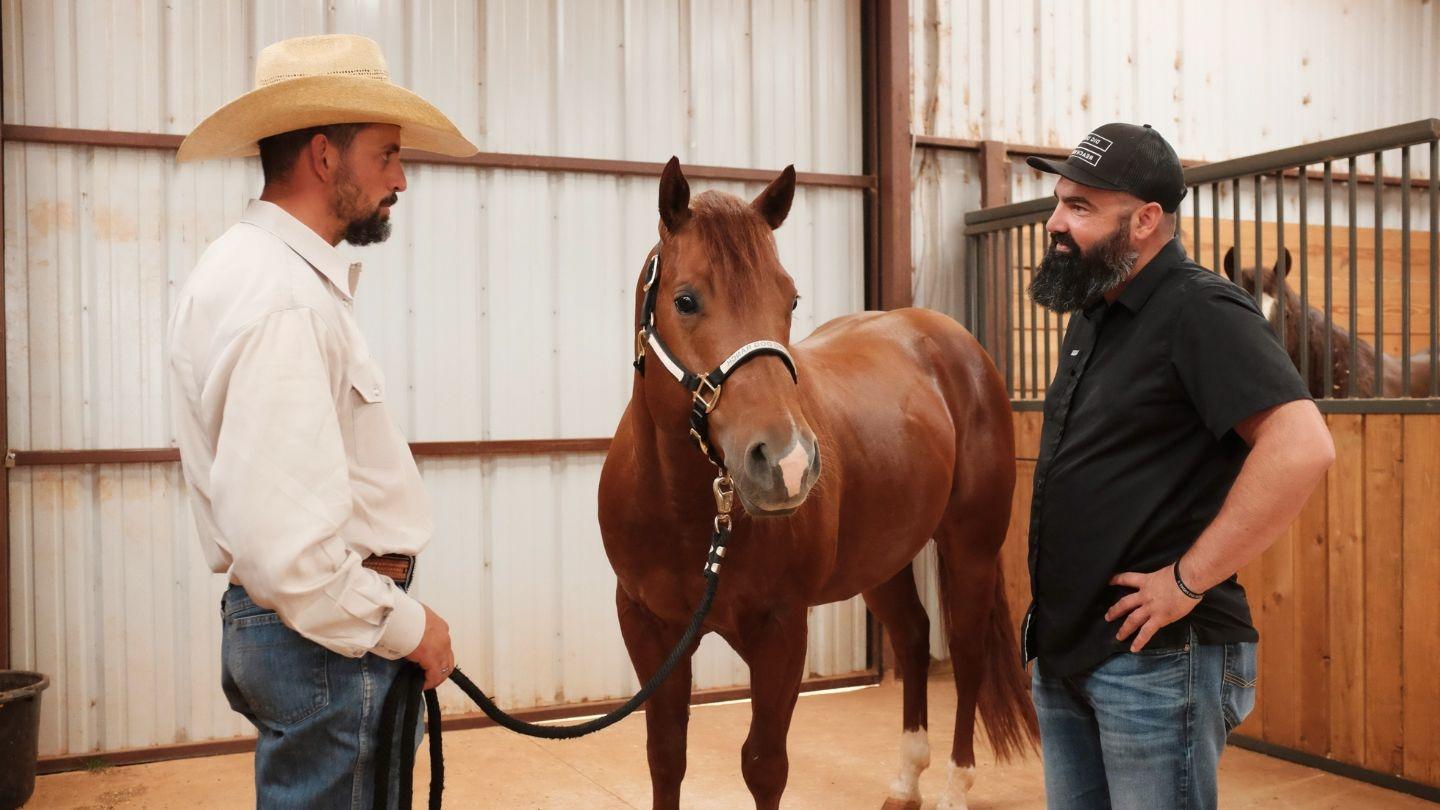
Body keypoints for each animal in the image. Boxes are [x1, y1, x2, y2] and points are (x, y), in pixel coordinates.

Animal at [596, 159, 1036, 807]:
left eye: (791, 298)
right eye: (685, 299)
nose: (787, 464)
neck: (686, 513)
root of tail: (955, 343)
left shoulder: (781, 629)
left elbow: (763, 764)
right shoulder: (649, 628)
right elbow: (666, 757)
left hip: (970, 547)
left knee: (966, 652)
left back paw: (955, 786)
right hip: (883, 557)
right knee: (914, 635)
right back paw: (906, 781)